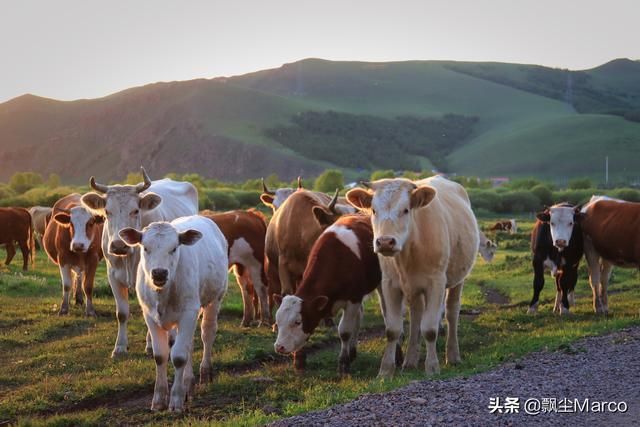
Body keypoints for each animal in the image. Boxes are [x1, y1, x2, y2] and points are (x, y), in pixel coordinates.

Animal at [81, 168, 199, 358]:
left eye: (135, 210)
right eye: (107, 211)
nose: (118, 245)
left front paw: (151, 345)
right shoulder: (113, 276)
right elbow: (122, 313)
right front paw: (120, 346)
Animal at [119, 217, 228, 414]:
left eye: (174, 248)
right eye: (145, 248)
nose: (159, 272)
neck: (163, 293)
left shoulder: (189, 312)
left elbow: (178, 357)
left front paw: (176, 400)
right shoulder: (149, 315)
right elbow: (161, 355)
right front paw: (159, 399)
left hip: (215, 298)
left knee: (207, 334)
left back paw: (205, 372)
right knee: (188, 344)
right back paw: (188, 383)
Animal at [274, 216, 388, 372]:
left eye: (297, 322)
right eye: (278, 321)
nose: (279, 347)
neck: (337, 258)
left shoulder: (353, 299)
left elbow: (345, 331)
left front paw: (343, 363)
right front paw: (299, 359)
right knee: (358, 318)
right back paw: (352, 351)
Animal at [348, 177, 478, 378]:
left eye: (405, 210)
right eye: (374, 210)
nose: (385, 242)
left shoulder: (436, 283)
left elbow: (430, 329)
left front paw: (432, 367)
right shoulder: (390, 285)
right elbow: (392, 329)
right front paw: (386, 370)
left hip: (457, 280)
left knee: (452, 312)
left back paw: (453, 355)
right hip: (414, 288)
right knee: (416, 314)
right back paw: (410, 360)